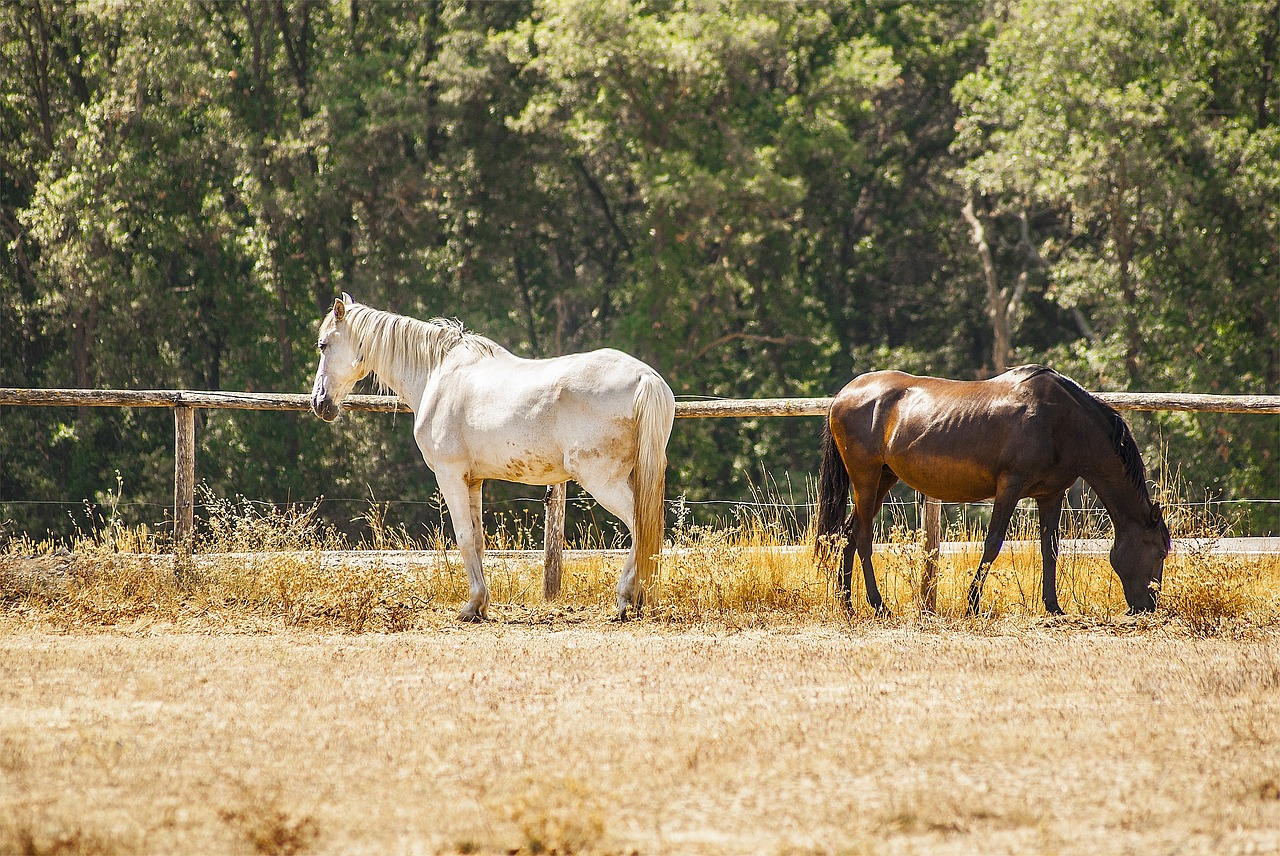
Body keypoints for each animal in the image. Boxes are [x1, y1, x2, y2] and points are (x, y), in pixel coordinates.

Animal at [309, 294, 675, 621]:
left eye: (323, 345)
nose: (319, 402)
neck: (438, 375)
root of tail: (645, 378)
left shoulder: (450, 476)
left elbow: (464, 538)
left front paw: (471, 605)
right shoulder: (474, 481)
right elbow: (478, 541)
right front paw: (482, 604)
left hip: (602, 482)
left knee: (641, 527)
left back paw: (625, 599)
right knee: (649, 529)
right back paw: (637, 599)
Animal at [819, 363, 1172, 611]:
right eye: (1159, 552)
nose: (1148, 607)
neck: (1062, 422)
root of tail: (842, 395)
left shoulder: (1050, 494)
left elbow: (1050, 549)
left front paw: (1053, 607)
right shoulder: (1010, 488)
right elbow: (992, 544)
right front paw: (972, 604)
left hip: (883, 478)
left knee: (847, 535)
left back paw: (846, 604)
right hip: (865, 478)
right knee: (862, 537)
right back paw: (878, 605)